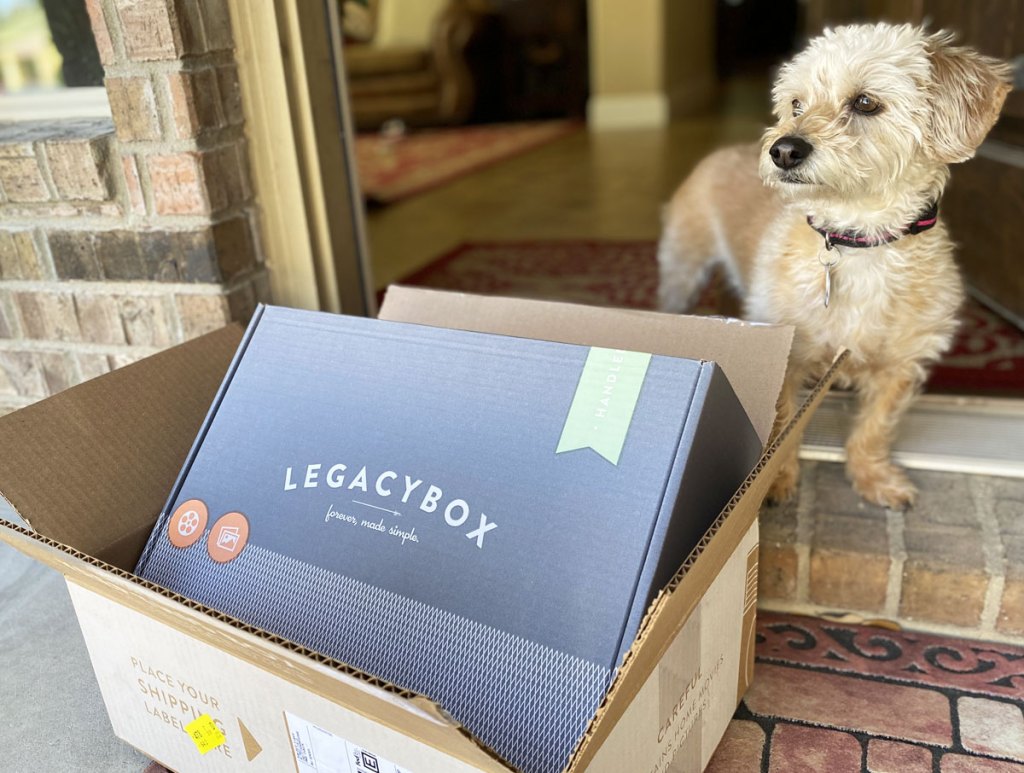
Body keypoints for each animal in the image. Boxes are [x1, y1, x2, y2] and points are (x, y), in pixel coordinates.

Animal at [659, 24, 1011, 511]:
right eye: (795, 104)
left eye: (865, 102)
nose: (782, 150)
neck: (861, 240)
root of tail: (723, 150)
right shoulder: (787, 360)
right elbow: (781, 424)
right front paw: (776, 482)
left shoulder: (901, 366)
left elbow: (874, 427)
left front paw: (873, 477)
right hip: (683, 269)